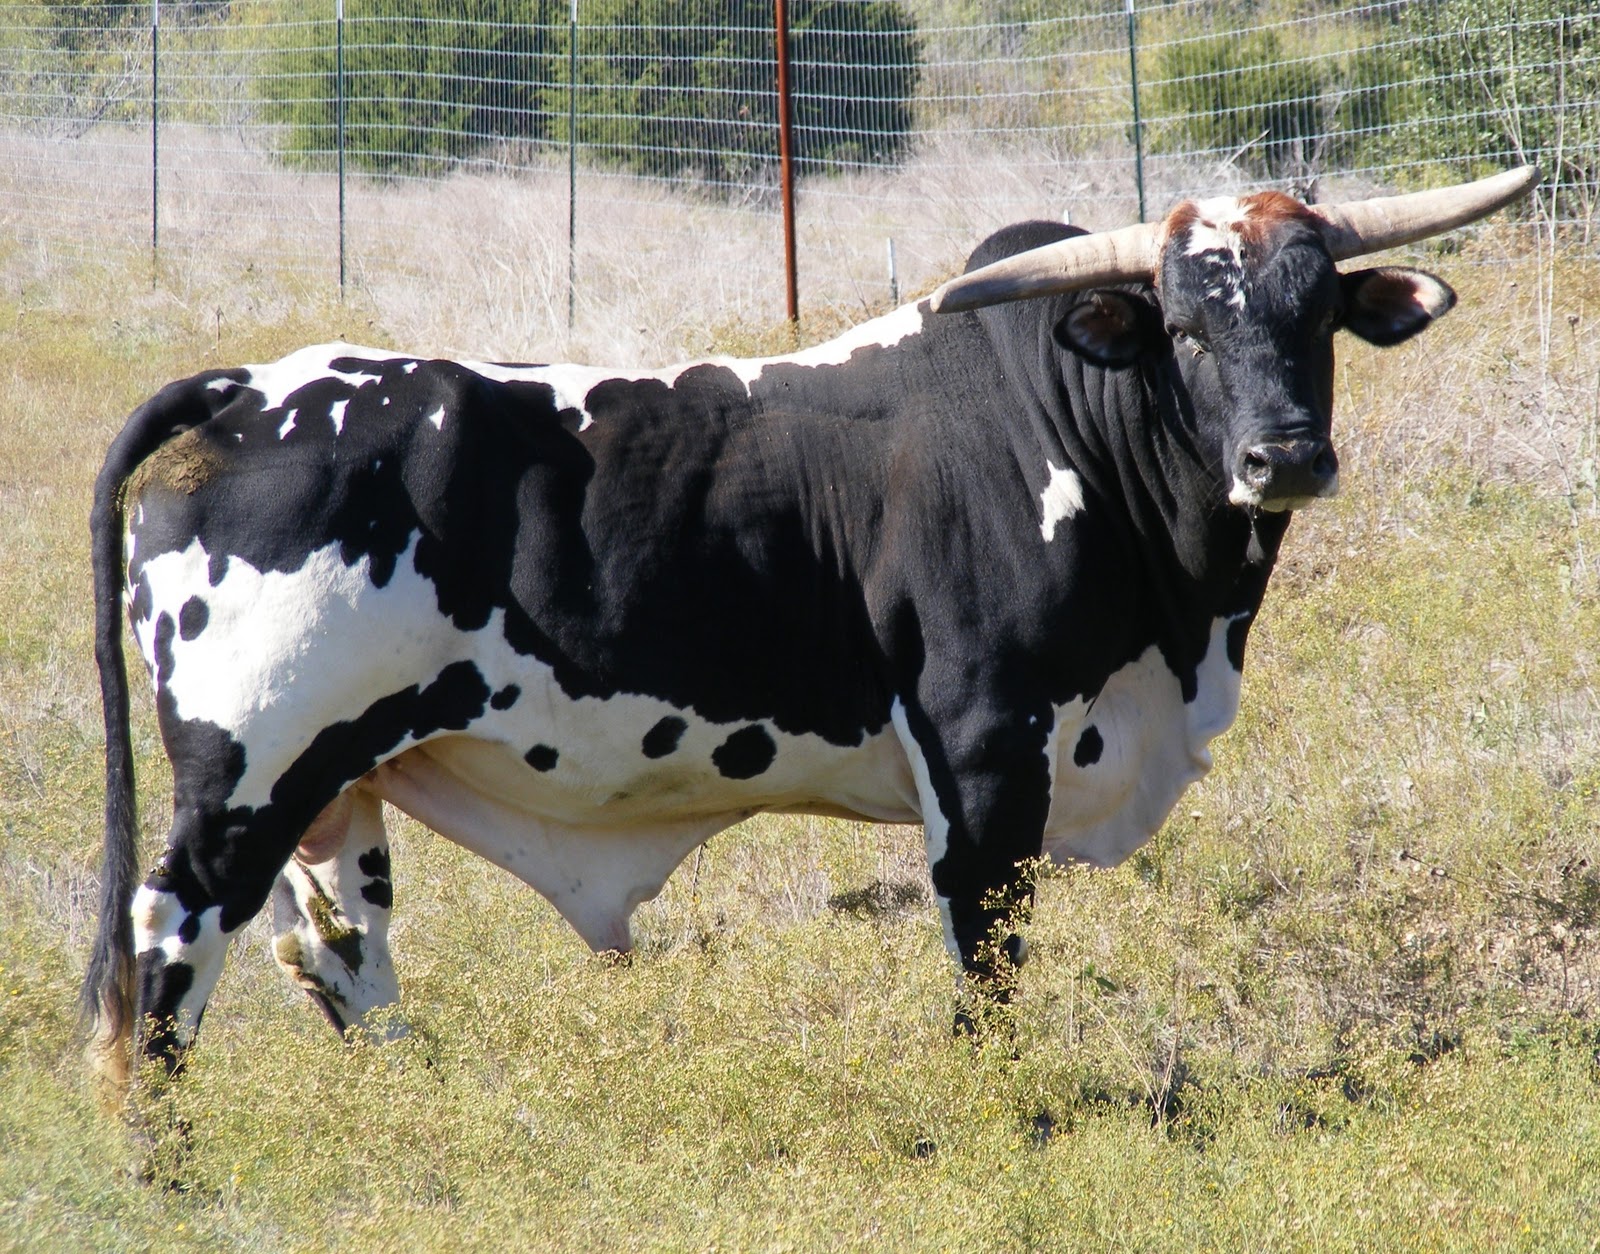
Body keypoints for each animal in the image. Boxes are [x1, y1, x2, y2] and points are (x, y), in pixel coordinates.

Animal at [84, 167, 1536, 1088]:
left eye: (1320, 314)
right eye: (1182, 324)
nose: (1283, 455)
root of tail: (250, 383)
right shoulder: (986, 755)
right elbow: (988, 973)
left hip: (341, 788)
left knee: (340, 957)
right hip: (244, 778)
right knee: (159, 963)